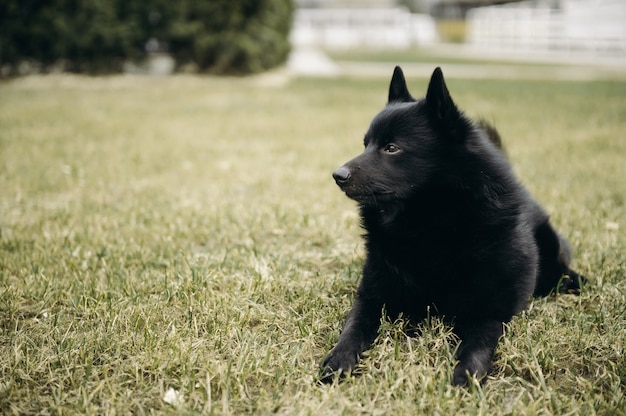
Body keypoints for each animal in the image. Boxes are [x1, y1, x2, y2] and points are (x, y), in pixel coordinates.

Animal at [322, 66, 584, 386]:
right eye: (366, 144)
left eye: (391, 148)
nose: (338, 175)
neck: (428, 223)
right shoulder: (372, 298)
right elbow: (353, 327)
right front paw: (339, 358)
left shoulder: (488, 312)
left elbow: (478, 344)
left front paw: (466, 376)